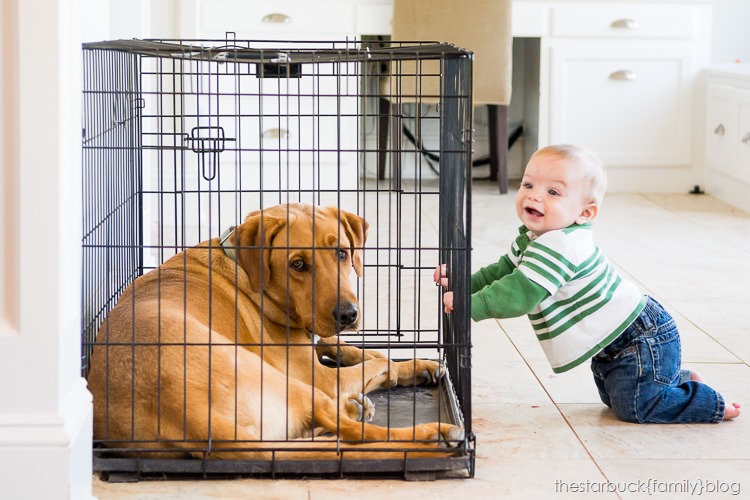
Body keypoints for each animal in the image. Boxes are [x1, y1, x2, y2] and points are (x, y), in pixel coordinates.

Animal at [88, 201, 464, 458]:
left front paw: (420, 364)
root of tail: (193, 419)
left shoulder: (316, 336)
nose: (348, 314)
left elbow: (348, 346)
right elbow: (377, 362)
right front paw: (396, 370)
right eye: (298, 264)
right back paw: (431, 432)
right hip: (294, 386)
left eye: (342, 252)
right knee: (354, 429)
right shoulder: (320, 376)